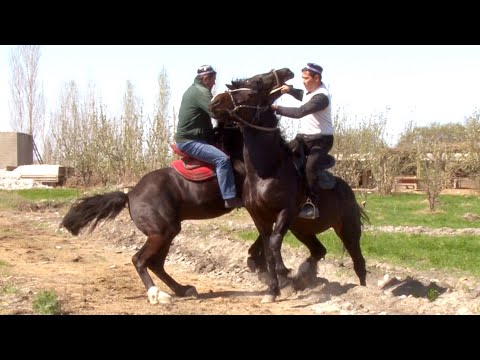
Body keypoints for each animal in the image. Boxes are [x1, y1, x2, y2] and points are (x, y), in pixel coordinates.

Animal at [60, 67, 292, 304]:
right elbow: (267, 238)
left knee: (156, 264)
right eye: (258, 81)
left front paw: (266, 271)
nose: (286, 72)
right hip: (161, 232)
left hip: (169, 231)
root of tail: (130, 194)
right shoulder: (252, 204)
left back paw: (183, 289)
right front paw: (275, 276)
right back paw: (157, 294)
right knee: (140, 260)